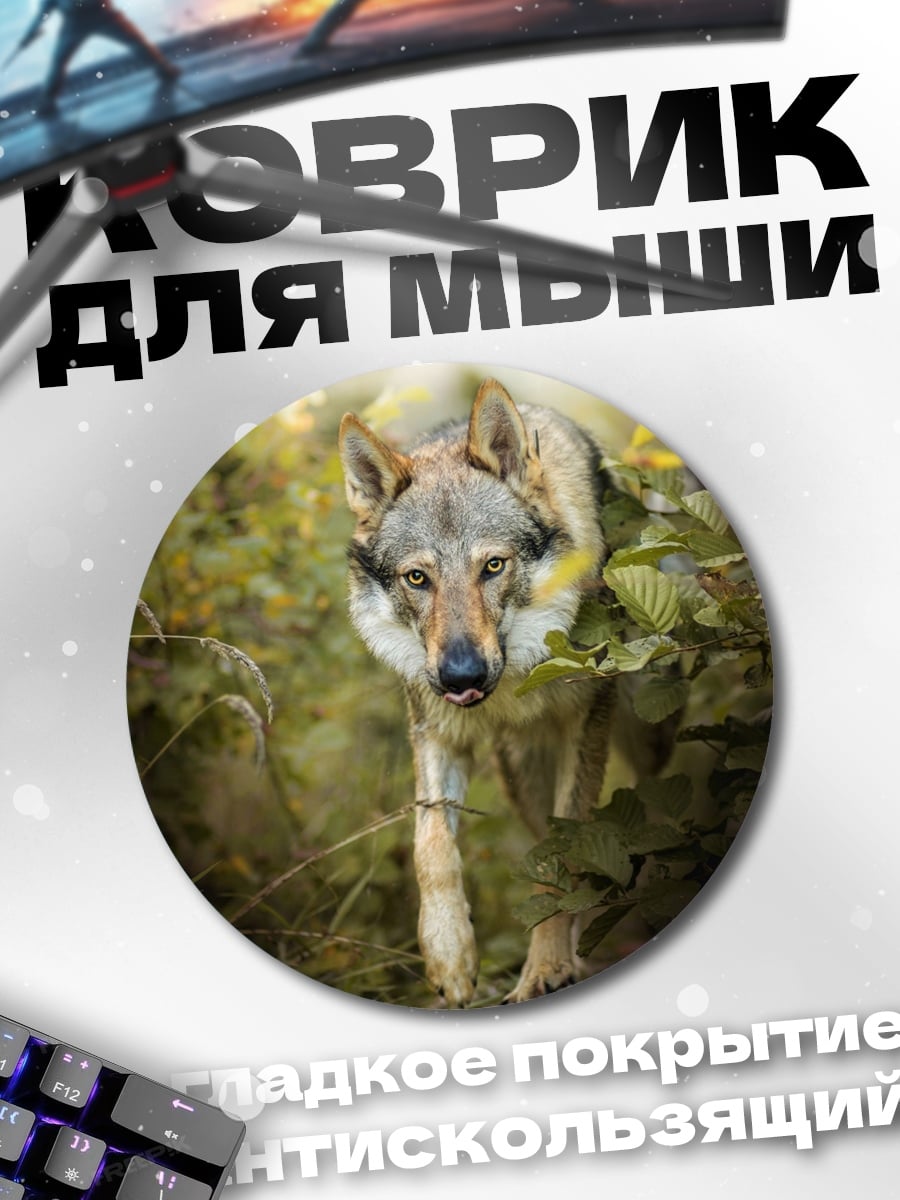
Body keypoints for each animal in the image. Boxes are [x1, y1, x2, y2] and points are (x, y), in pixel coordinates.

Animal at [338, 378, 618, 1005]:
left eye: (492, 566)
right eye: (418, 578)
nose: (461, 677)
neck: (513, 686)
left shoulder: (586, 727)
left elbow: (563, 859)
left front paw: (545, 970)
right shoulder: (436, 734)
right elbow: (431, 847)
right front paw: (450, 958)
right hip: (520, 776)